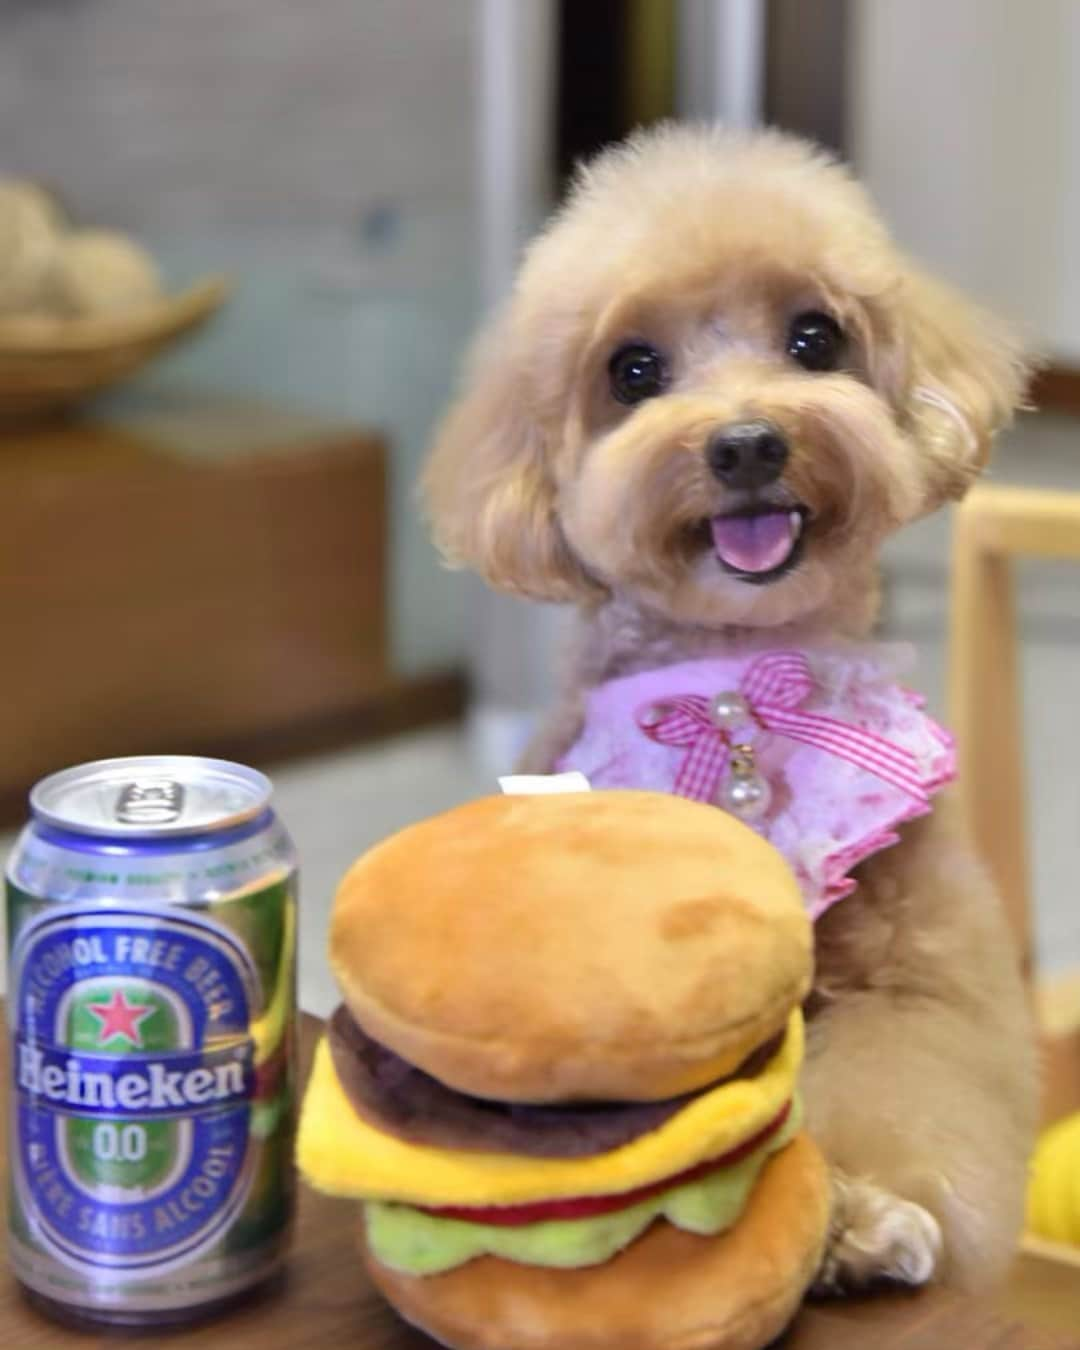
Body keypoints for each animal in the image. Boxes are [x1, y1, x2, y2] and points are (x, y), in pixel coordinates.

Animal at [421, 126, 1036, 1296]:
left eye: (814, 337)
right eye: (633, 371)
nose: (748, 443)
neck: (738, 697)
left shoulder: (910, 982)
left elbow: (896, 1089)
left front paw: (858, 1214)